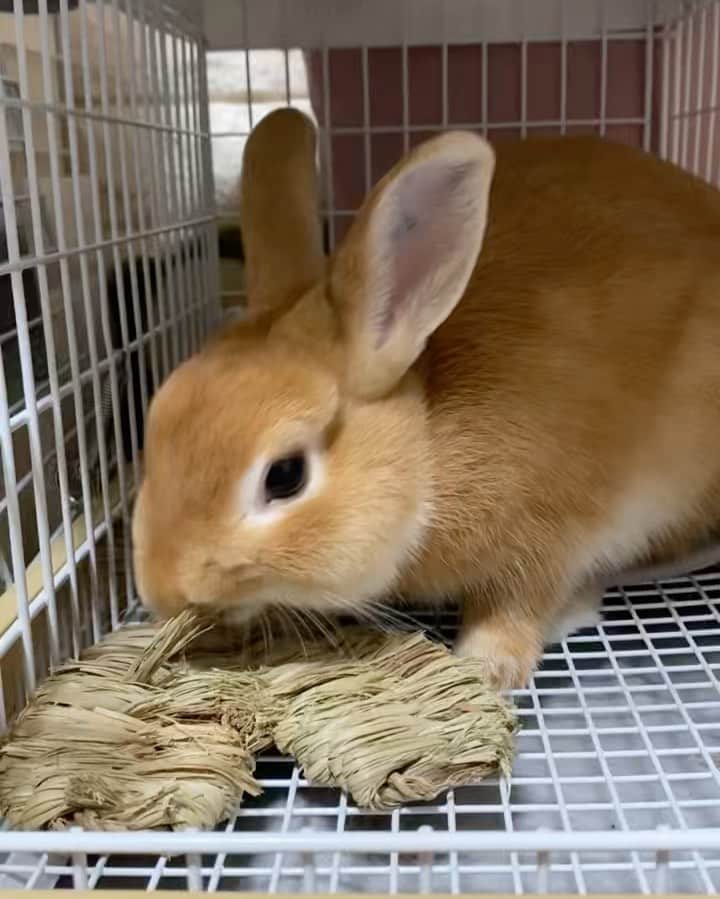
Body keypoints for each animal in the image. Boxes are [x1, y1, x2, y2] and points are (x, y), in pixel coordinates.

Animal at [132, 107, 720, 689]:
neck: (428, 447)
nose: (166, 591)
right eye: (155, 421)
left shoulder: (554, 531)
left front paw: (486, 664)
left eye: (285, 476)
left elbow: (520, 602)